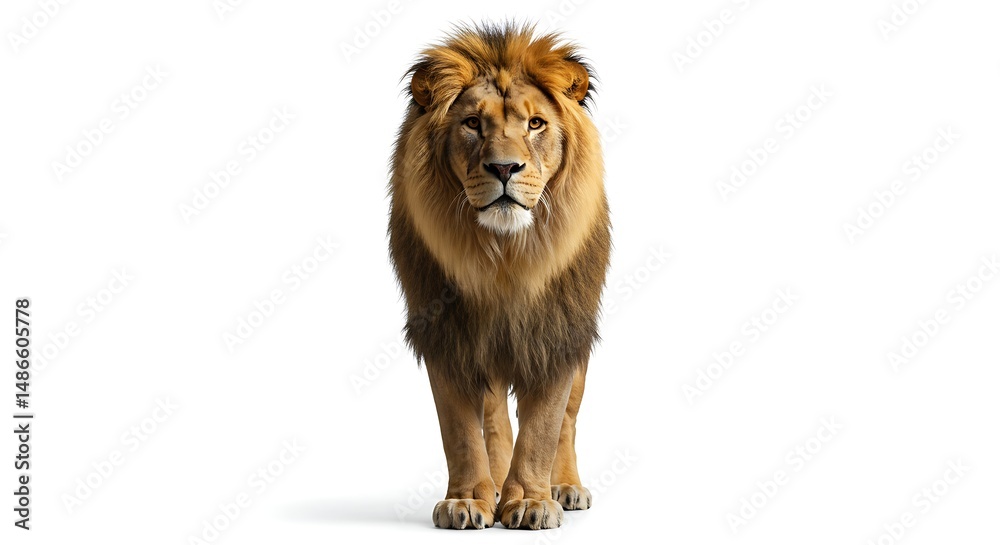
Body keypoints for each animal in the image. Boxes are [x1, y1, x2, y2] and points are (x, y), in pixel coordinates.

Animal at [387, 23, 610, 530]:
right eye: (472, 124)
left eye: (536, 124)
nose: (505, 167)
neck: (504, 257)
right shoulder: (446, 335)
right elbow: (461, 431)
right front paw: (467, 501)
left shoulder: (556, 332)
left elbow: (545, 426)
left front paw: (530, 501)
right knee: (493, 418)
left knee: (568, 420)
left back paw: (564, 487)